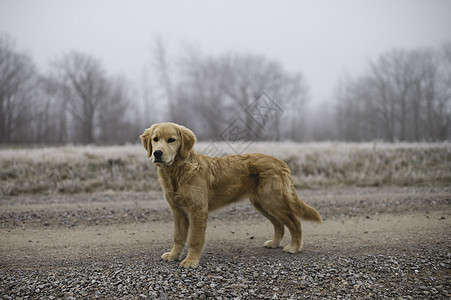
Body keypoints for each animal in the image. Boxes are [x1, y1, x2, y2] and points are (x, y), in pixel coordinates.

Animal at [139, 123, 324, 268]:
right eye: (155, 139)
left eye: (171, 140)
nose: (157, 153)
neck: (178, 172)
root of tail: (279, 161)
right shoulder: (177, 211)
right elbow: (178, 237)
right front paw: (173, 255)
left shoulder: (197, 210)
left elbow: (194, 238)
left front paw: (191, 260)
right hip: (262, 204)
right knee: (279, 224)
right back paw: (274, 243)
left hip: (273, 201)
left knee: (294, 222)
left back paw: (294, 247)